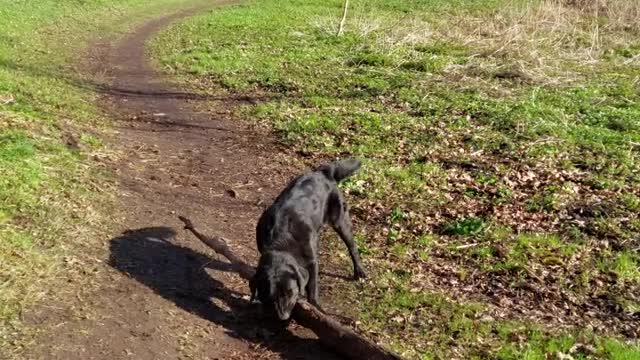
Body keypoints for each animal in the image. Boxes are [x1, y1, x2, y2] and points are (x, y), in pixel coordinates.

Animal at [251, 159, 370, 320]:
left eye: (291, 292)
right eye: (272, 297)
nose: (284, 317)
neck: (281, 242)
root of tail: (323, 172)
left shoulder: (312, 262)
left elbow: (312, 288)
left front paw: (317, 309)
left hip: (340, 220)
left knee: (352, 247)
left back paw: (359, 271)